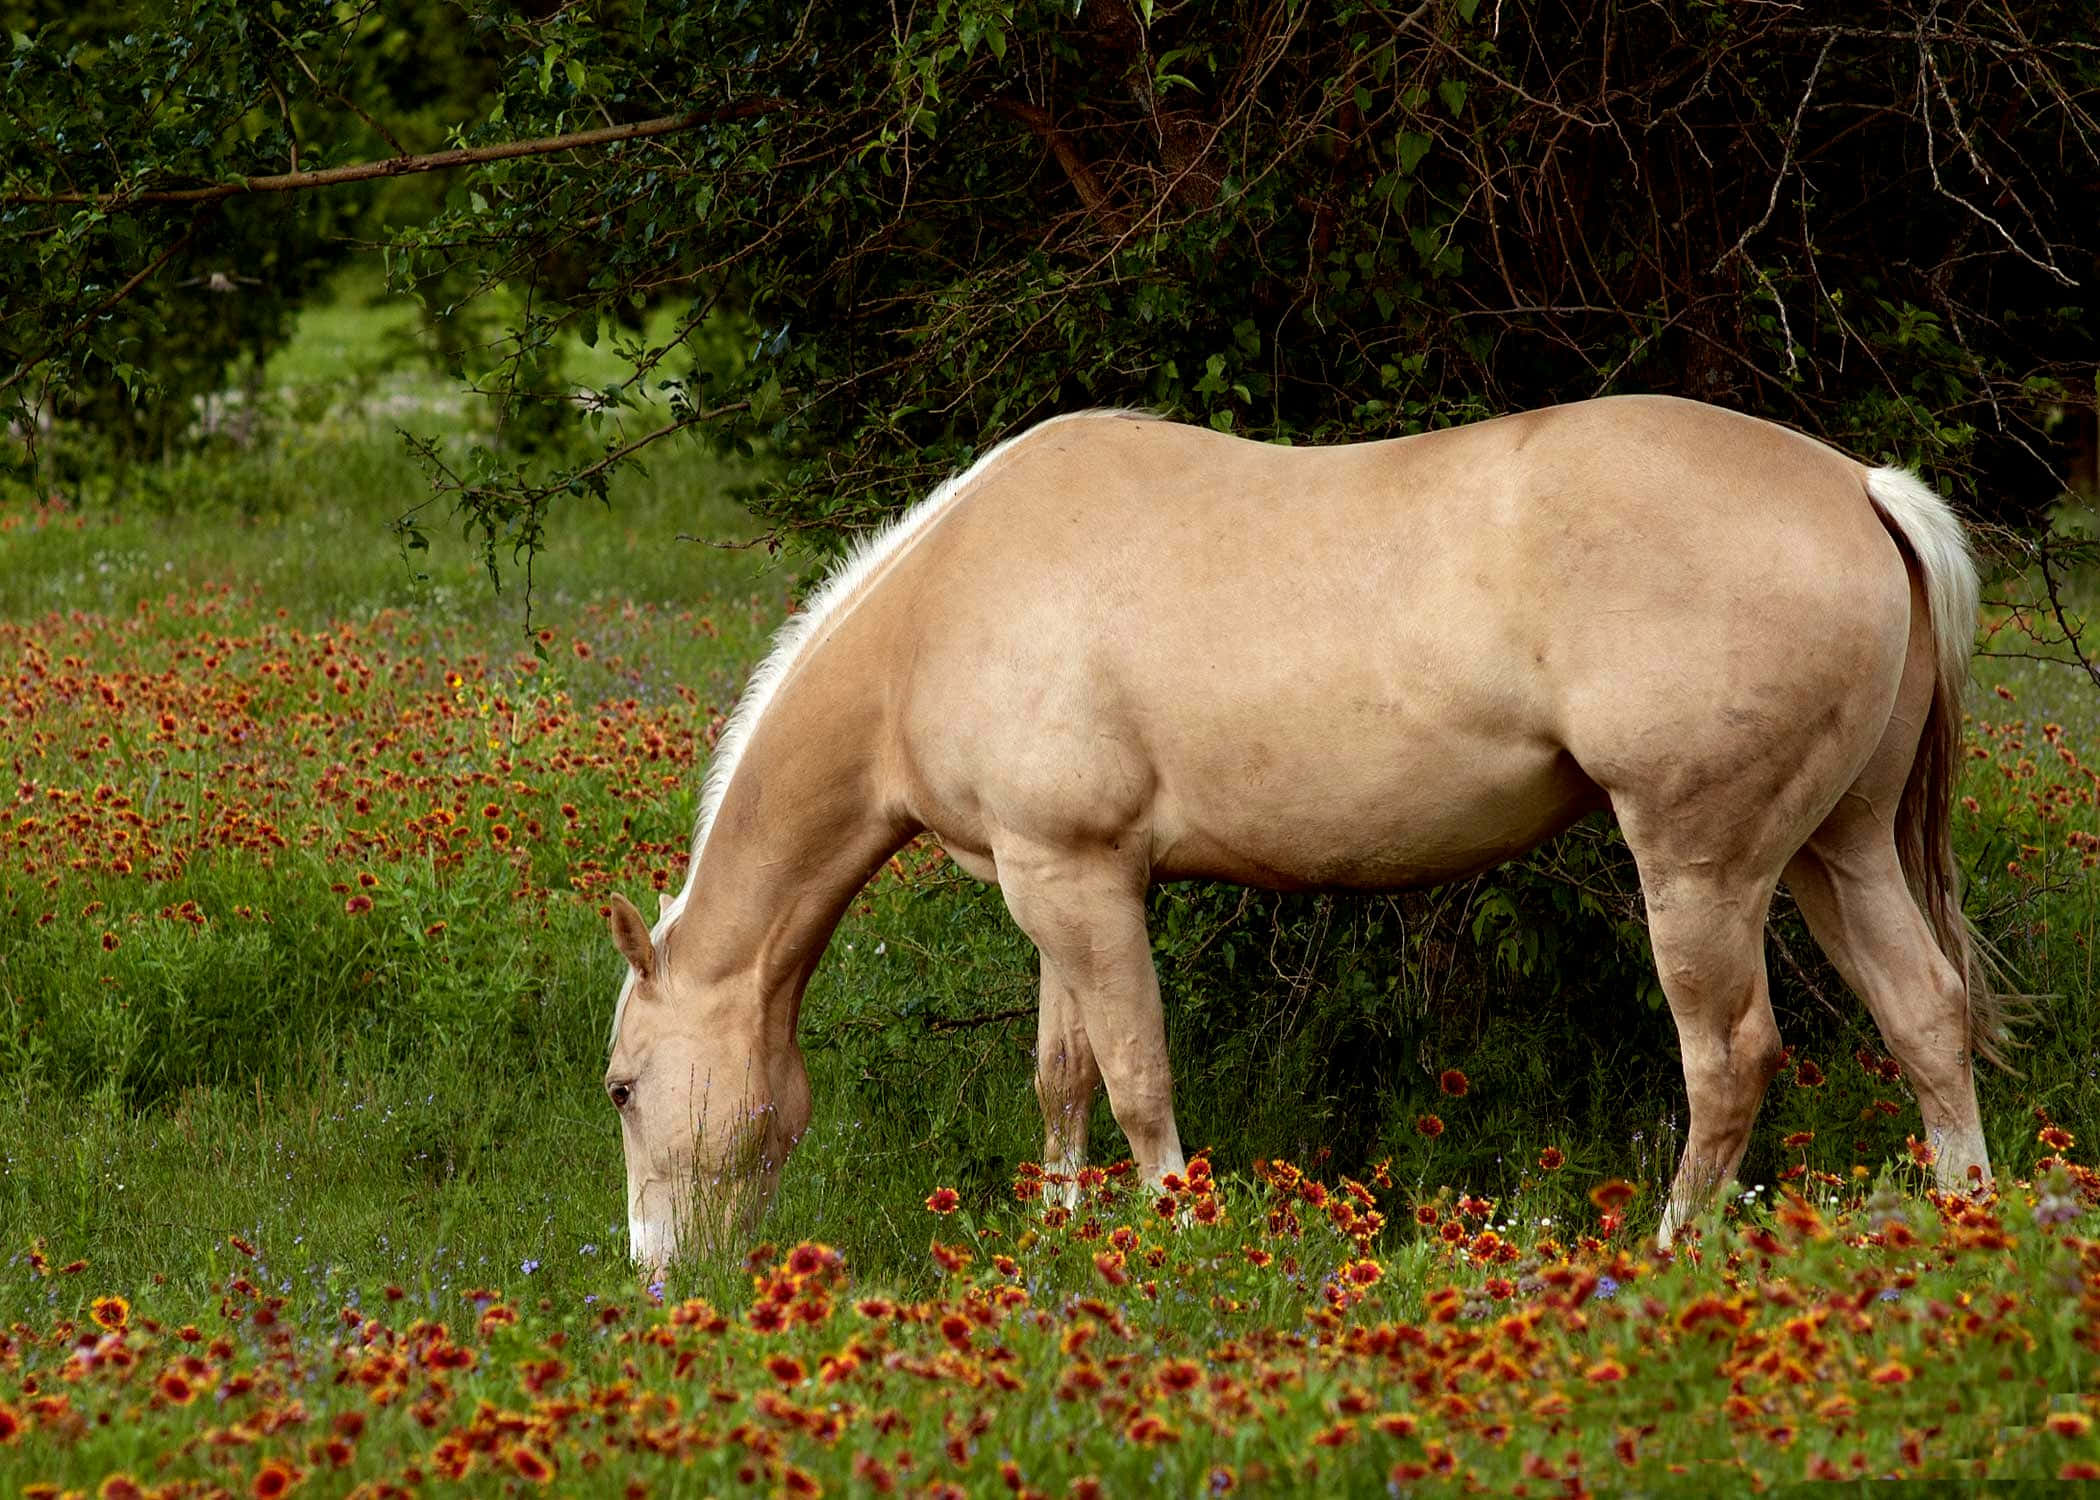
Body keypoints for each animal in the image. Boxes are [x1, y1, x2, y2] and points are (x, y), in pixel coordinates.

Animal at [601, 395, 2002, 1272]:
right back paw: (1972, 1227)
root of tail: (1859, 487)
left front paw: (1182, 1250)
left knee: (1729, 1060)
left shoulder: (1080, 883)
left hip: (1702, 867)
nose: (657, 1279)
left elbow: (1136, 1078)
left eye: (620, 1088)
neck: (946, 604)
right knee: (1925, 1015)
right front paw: (1056, 1248)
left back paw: (1664, 1256)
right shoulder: (1052, 885)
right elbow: (1063, 1077)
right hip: (1836, 851)